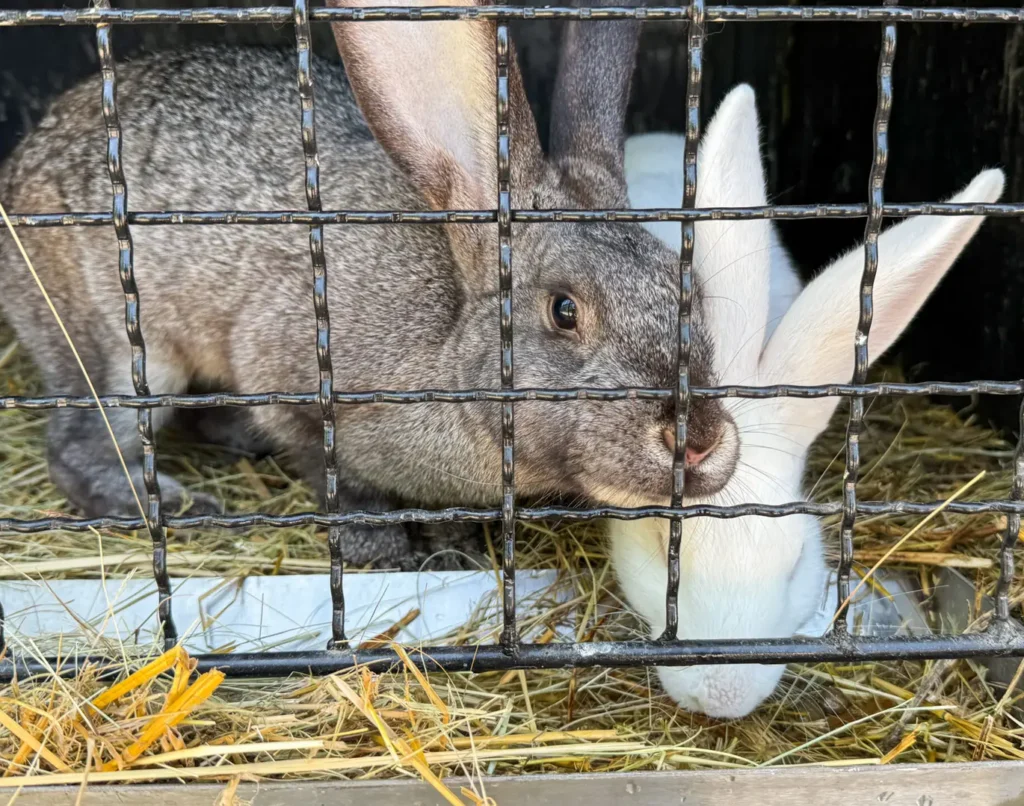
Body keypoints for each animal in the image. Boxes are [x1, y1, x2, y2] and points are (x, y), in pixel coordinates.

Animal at [0, 0, 740, 570]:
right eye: (564, 310)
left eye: (691, 292)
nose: (700, 440)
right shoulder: (288, 375)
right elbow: (339, 482)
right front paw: (381, 549)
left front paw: (453, 547)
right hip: (124, 355)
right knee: (77, 447)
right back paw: (178, 502)